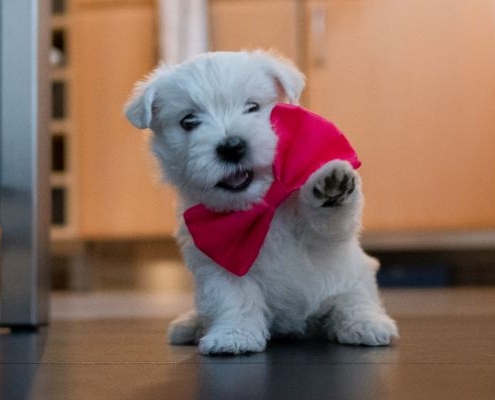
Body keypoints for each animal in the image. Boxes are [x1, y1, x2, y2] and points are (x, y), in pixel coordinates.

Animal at [125, 50, 400, 354]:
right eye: (189, 121)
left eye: (252, 107)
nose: (232, 146)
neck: (259, 208)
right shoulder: (218, 263)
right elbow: (235, 299)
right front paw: (233, 335)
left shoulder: (324, 240)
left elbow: (328, 224)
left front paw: (331, 184)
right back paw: (190, 325)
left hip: (355, 276)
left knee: (354, 300)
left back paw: (366, 324)